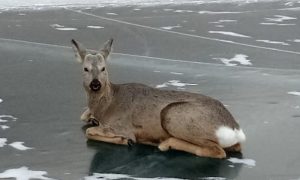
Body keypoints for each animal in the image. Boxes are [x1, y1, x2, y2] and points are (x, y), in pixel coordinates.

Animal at [71, 38, 246, 159]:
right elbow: (84, 117)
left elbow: (89, 132)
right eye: (85, 68)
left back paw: (166, 143)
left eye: (103, 68)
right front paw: (91, 119)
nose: (95, 84)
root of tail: (235, 128)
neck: (107, 107)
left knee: (218, 151)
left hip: (172, 114)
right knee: (235, 147)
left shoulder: (122, 126)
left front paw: (124, 140)